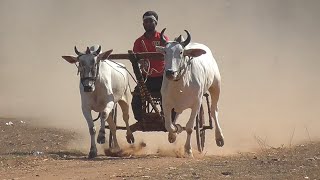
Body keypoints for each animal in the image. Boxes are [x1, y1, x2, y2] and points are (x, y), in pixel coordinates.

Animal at [156, 28, 224, 158]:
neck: (182, 84)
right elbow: (169, 126)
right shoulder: (166, 103)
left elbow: (189, 128)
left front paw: (188, 150)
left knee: (214, 111)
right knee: (177, 113)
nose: (170, 72)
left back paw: (219, 138)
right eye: (165, 52)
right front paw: (173, 133)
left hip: (216, 86)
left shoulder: (196, 104)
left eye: (181, 52)